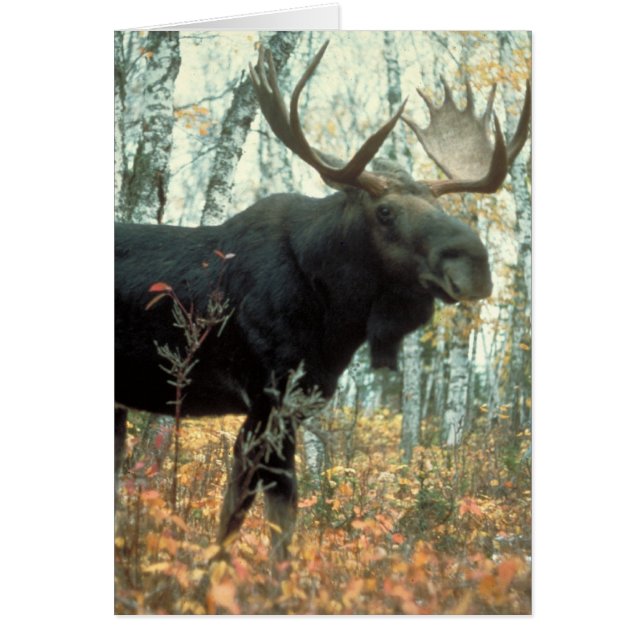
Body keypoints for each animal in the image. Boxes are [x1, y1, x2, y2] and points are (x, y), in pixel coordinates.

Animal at [115, 41, 531, 561]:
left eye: (440, 207)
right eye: (385, 211)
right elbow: (259, 518)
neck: (337, 319)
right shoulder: (269, 397)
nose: (474, 263)